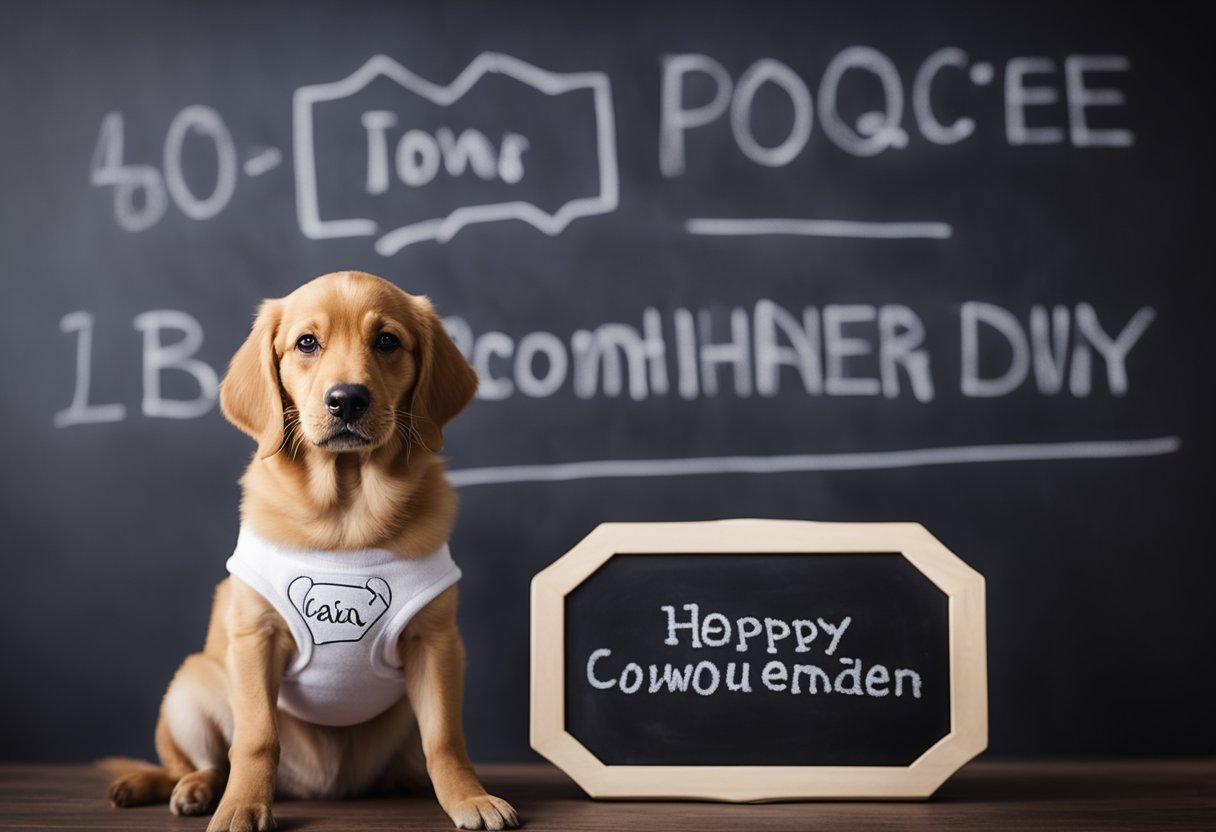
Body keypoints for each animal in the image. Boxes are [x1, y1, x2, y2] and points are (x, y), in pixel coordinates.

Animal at [104, 272, 518, 832]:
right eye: (306, 343)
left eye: (386, 340)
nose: (347, 400)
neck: (346, 519)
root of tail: (322, 787)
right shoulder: (256, 639)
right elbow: (256, 739)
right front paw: (242, 806)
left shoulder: (436, 644)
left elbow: (446, 739)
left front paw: (469, 797)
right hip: (192, 686)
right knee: (196, 763)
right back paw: (188, 789)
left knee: (412, 758)